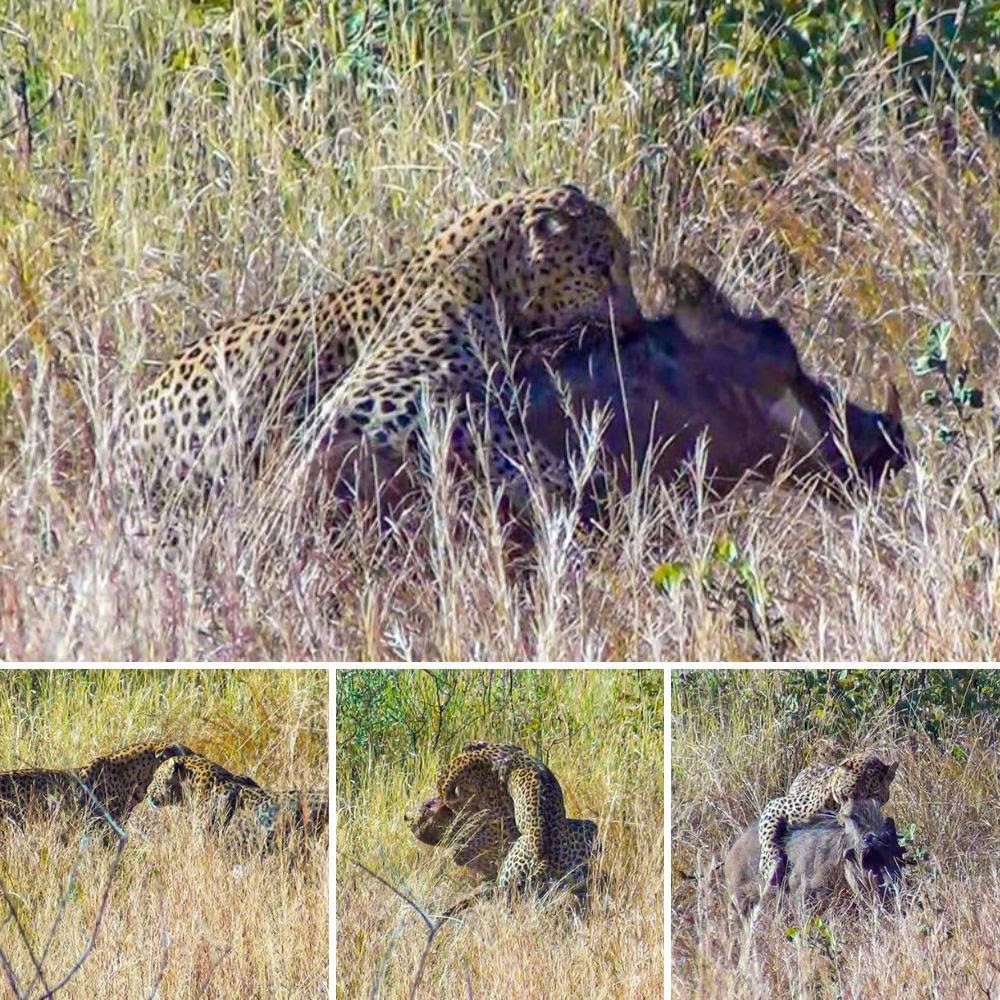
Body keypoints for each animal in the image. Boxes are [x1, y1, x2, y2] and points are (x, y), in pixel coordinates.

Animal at [123, 184, 640, 520]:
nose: (635, 320)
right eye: (601, 266)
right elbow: (493, 428)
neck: (486, 270)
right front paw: (561, 479)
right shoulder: (386, 396)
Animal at [756, 752, 900, 888]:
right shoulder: (778, 805)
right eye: (845, 795)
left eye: (871, 800)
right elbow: (767, 835)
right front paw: (770, 867)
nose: (847, 819)